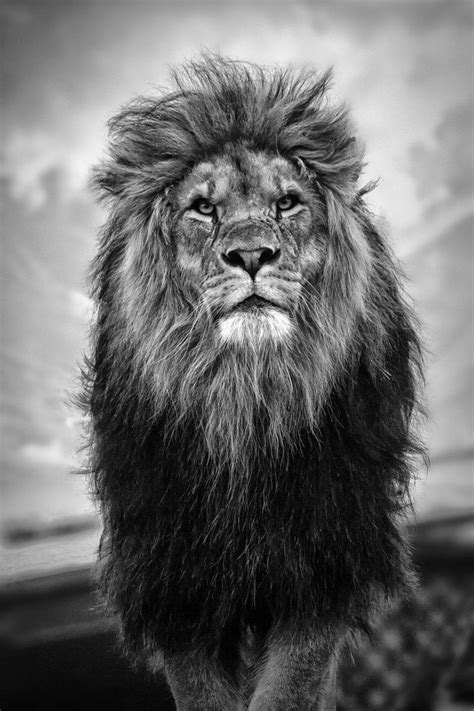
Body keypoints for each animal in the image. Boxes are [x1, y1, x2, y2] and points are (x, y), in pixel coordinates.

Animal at [82, 56, 424, 710]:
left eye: (288, 203)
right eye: (203, 208)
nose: (251, 256)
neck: (245, 398)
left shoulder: (324, 561)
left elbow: (291, 688)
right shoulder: (174, 580)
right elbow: (204, 694)